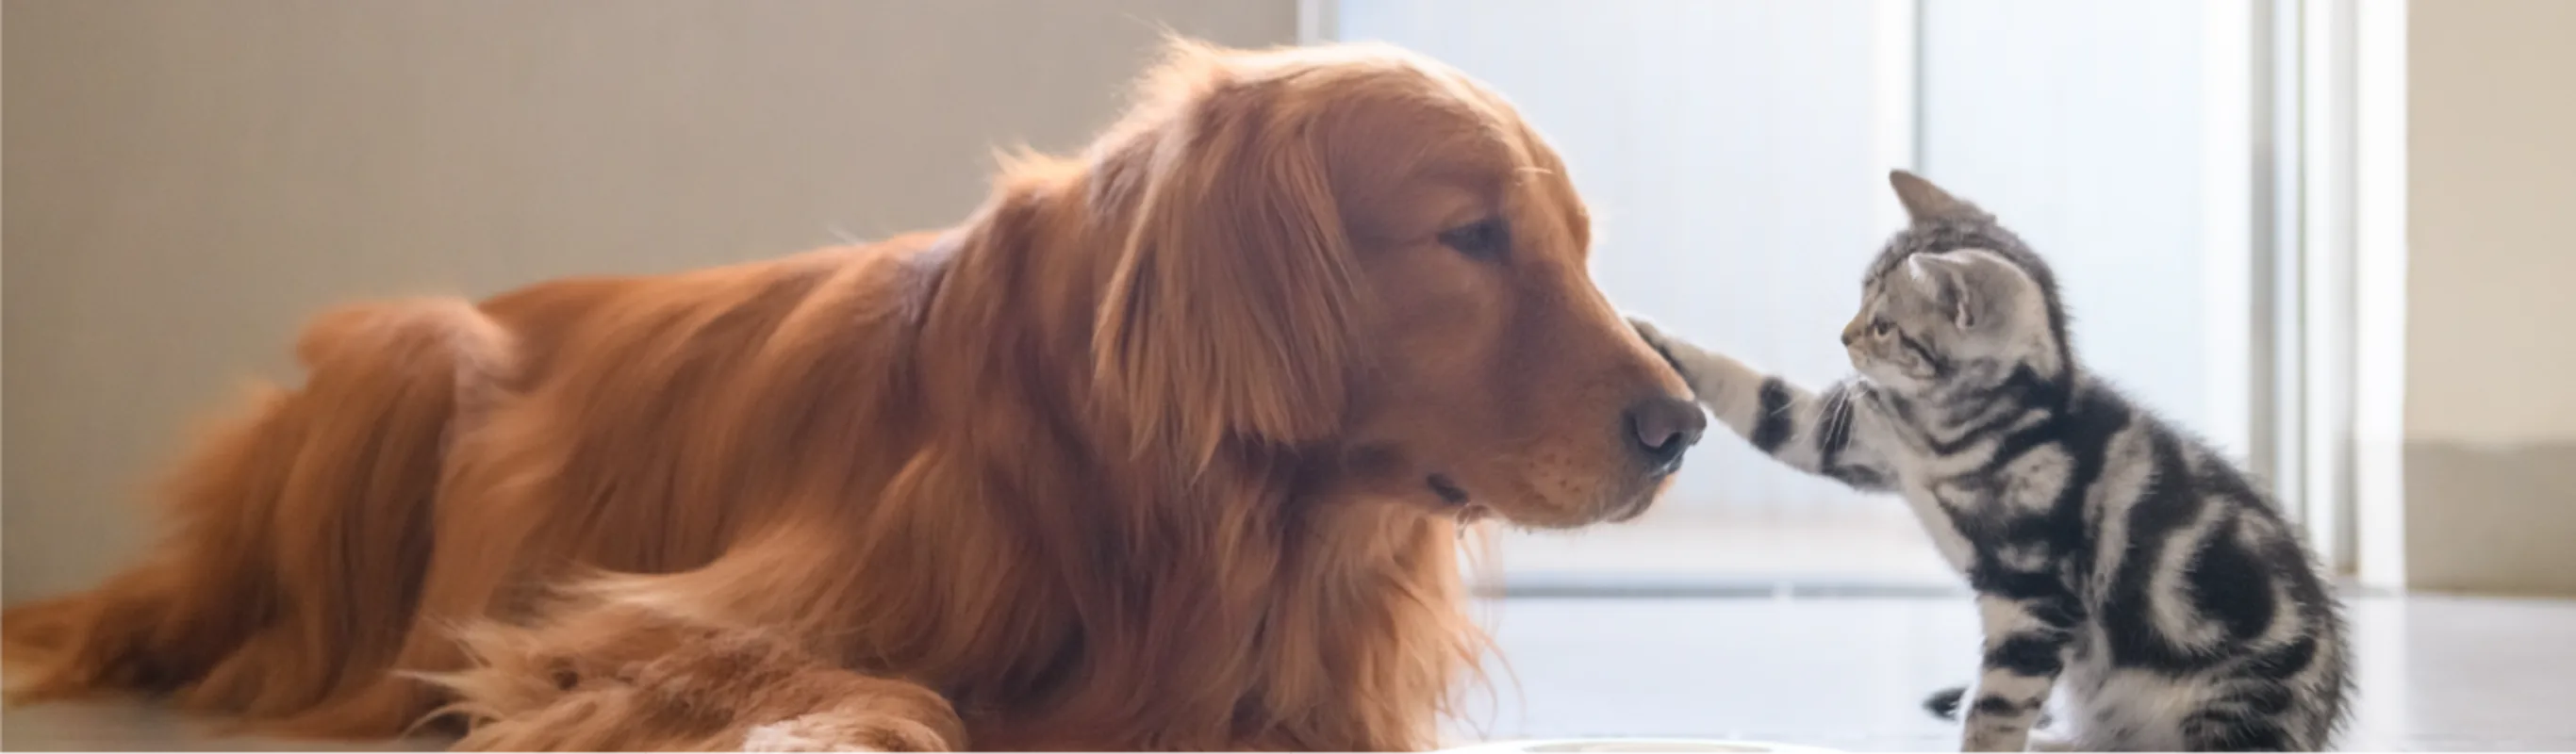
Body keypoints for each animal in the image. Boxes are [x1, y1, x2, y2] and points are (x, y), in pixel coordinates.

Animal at [5, 39, 1710, 751]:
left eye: (1572, 242)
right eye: (1470, 237)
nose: (1685, 428)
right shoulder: (630, 622)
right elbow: (888, 688)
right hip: (418, 356)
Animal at [1638, 171, 2349, 751]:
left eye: (1883, 324)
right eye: (1861, 300)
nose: (1844, 335)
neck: (1948, 434)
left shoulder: (2033, 595)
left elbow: (1996, 710)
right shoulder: (1855, 440)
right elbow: (1760, 398)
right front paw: (1652, 339)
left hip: (2231, 700)